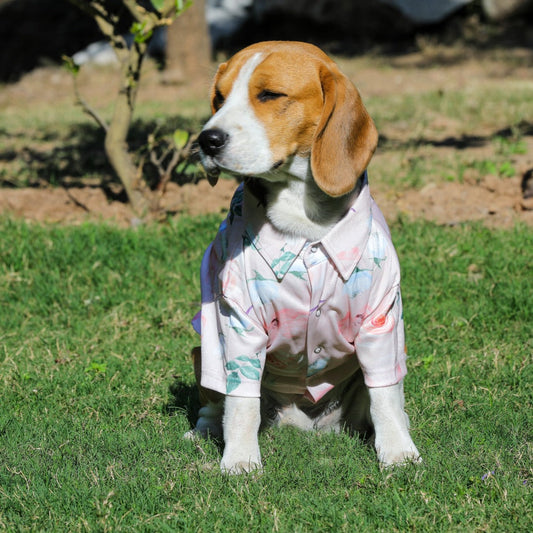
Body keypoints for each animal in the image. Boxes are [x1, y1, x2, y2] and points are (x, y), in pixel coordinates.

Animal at [189, 42, 422, 474]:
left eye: (269, 95)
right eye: (219, 98)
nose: (206, 139)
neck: (303, 218)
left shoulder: (381, 319)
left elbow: (385, 394)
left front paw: (398, 451)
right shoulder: (239, 322)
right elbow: (241, 402)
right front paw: (240, 459)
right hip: (203, 350)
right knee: (216, 401)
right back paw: (206, 431)